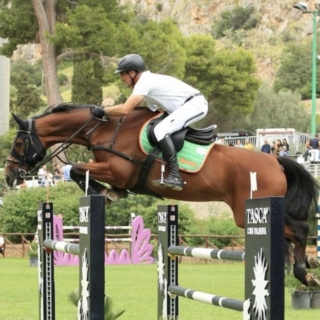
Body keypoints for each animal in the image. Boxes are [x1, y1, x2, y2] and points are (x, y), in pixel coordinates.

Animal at [5, 103, 320, 288]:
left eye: (19, 142)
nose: (9, 176)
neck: (107, 129)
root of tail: (276, 160)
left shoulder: (117, 170)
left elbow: (76, 169)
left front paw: (102, 191)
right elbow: (83, 172)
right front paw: (107, 193)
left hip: (251, 211)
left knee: (300, 229)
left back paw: (305, 272)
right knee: (292, 234)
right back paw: (306, 268)